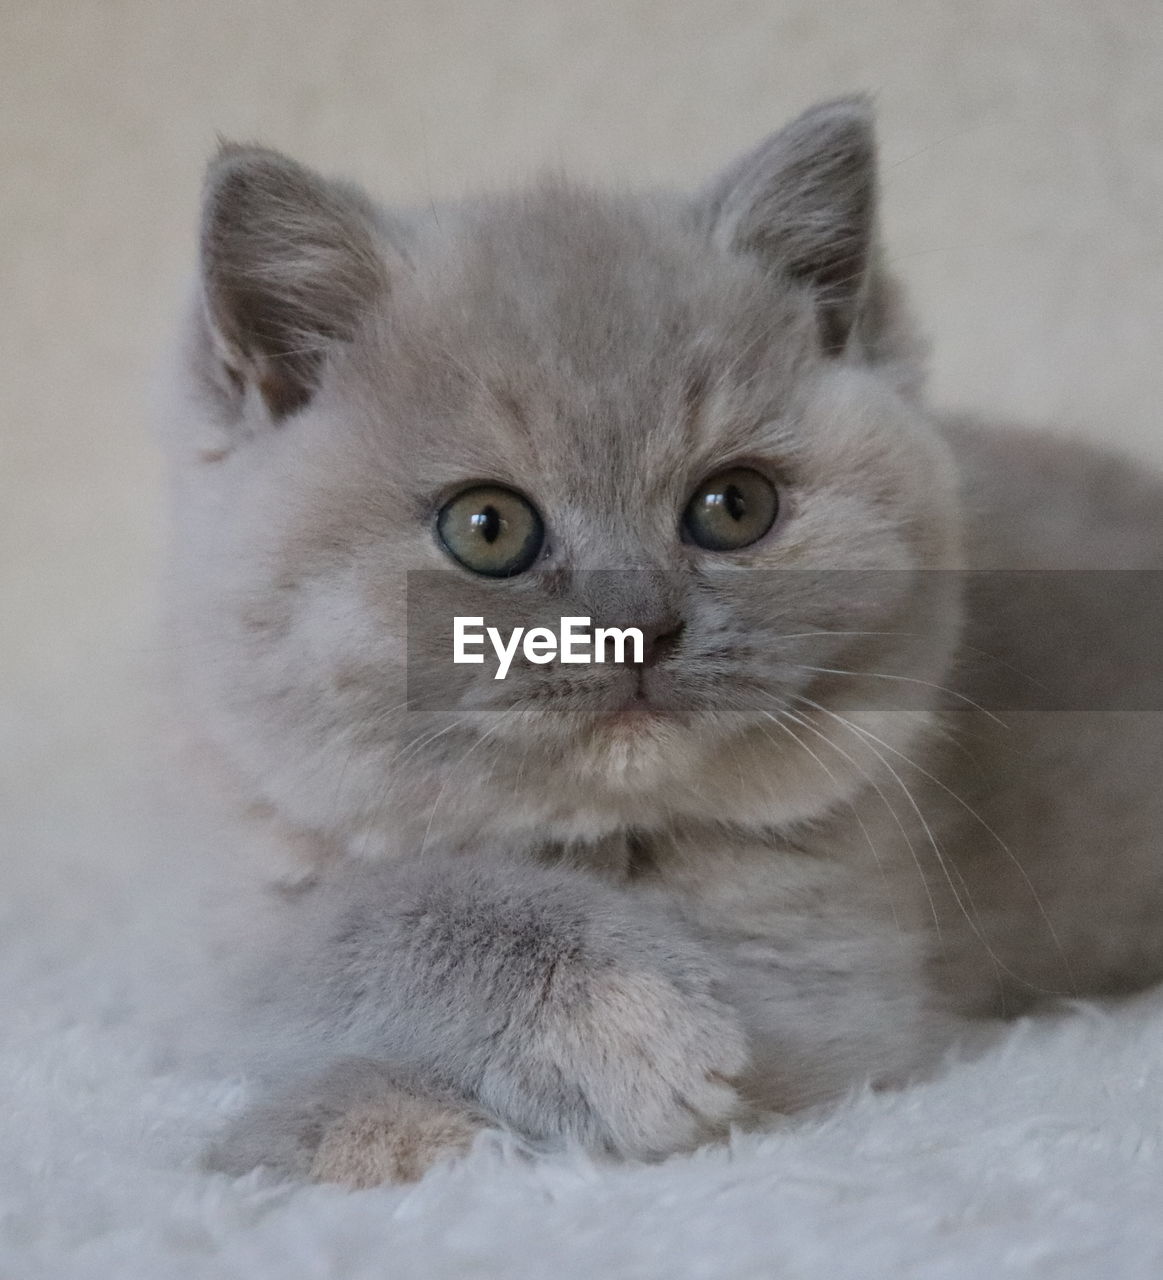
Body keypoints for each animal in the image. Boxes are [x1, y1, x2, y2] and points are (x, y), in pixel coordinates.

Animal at [158, 99, 1161, 1187]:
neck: (597, 843)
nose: (636, 625)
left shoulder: (826, 987)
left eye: (734, 506)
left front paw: (357, 1122)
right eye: (486, 528)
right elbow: (365, 919)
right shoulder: (229, 929)